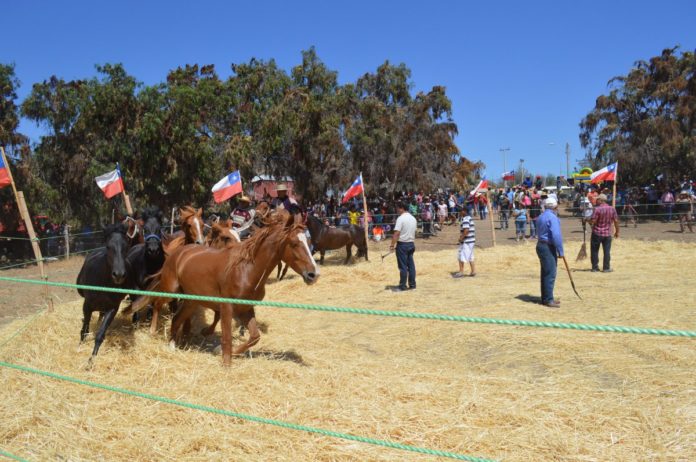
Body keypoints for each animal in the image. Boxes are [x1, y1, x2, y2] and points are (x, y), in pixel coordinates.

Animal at [77, 224, 133, 364]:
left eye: (127, 246)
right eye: (108, 246)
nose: (119, 275)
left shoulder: (112, 308)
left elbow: (100, 334)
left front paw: (91, 360)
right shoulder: (87, 305)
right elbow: (84, 330)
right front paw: (79, 347)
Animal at [137, 212, 320, 364]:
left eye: (309, 242)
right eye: (294, 243)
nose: (314, 274)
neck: (246, 269)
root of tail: (178, 252)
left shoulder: (245, 309)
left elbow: (254, 336)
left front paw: (222, 351)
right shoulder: (226, 307)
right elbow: (226, 336)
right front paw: (226, 363)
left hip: (192, 301)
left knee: (176, 319)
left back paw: (173, 345)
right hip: (170, 290)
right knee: (157, 304)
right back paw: (153, 332)